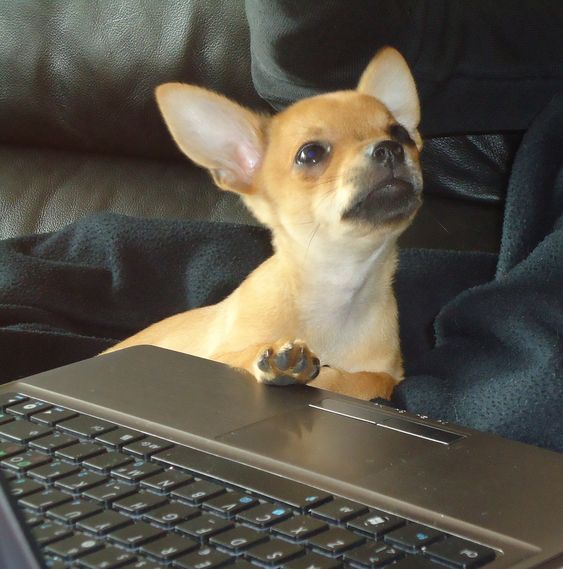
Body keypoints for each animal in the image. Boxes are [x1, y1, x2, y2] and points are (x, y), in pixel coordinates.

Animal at [107, 47, 424, 400]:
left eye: (401, 134)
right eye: (310, 154)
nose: (389, 148)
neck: (338, 288)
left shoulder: (386, 373)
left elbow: (373, 379)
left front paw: (332, 377)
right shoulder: (220, 355)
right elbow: (240, 357)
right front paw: (286, 364)